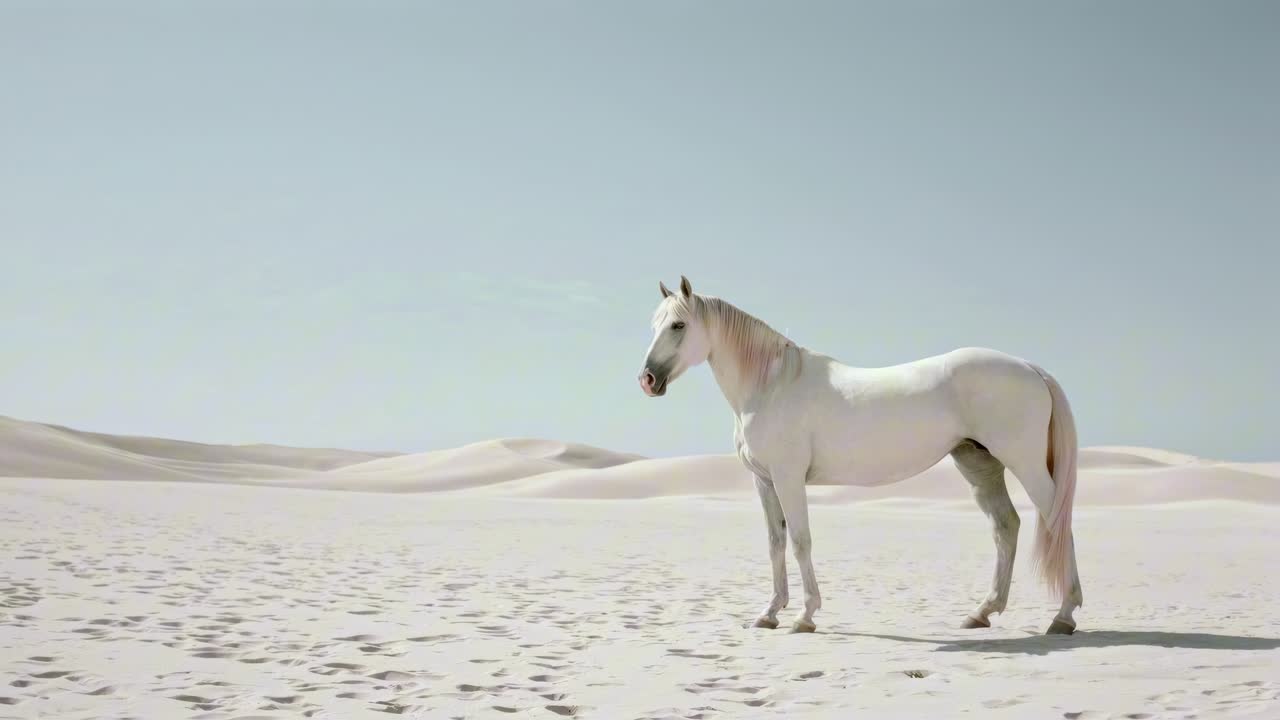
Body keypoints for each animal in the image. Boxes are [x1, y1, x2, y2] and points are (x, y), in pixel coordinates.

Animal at [637, 276, 1083, 635]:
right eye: (655, 325)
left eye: (679, 325)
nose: (647, 379)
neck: (772, 385)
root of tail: (1029, 367)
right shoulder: (763, 481)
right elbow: (775, 542)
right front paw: (769, 613)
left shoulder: (787, 477)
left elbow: (800, 540)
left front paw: (805, 616)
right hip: (979, 464)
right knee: (1005, 527)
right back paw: (982, 612)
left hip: (1025, 464)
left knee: (1057, 520)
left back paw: (1063, 616)